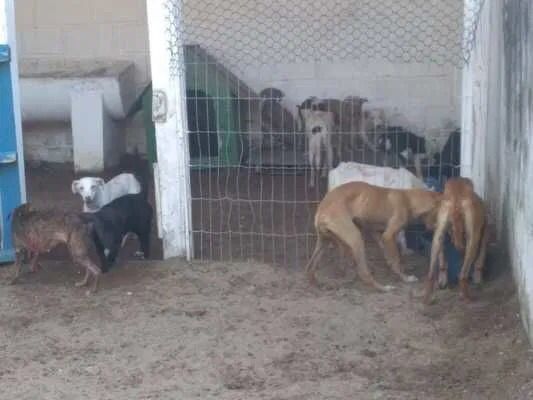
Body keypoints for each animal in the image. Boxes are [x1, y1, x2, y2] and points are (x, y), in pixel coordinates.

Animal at [304, 181, 440, 290]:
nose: (433, 229)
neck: (408, 199)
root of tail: (321, 211)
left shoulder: (375, 232)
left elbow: (389, 256)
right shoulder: (388, 235)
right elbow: (396, 259)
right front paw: (405, 278)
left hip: (324, 242)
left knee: (310, 267)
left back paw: (317, 284)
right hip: (356, 238)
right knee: (364, 273)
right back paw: (383, 288)